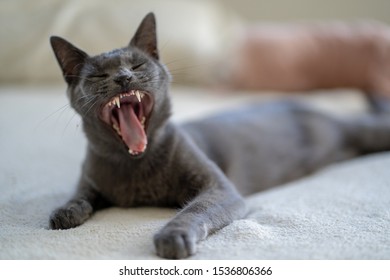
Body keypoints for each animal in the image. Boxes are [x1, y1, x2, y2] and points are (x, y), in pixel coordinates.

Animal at [48, 12, 390, 258]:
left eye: (137, 64)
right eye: (98, 75)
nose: (122, 77)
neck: (135, 166)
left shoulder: (220, 188)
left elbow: (194, 209)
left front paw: (172, 237)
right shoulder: (90, 176)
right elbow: (81, 193)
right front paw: (64, 212)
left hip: (360, 131)